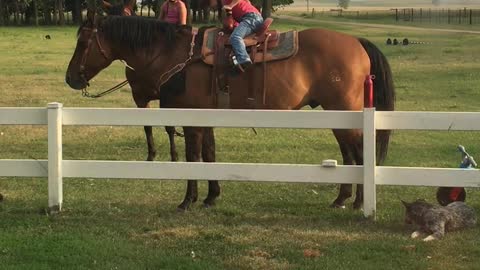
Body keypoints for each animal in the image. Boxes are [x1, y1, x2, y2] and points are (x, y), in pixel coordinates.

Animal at [64, 14, 394, 211]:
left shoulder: (191, 120)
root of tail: (355, 42)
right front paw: (211, 197)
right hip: (337, 115)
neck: (175, 56)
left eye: (83, 42)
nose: (70, 78)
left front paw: (188, 201)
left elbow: (193, 158)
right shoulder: (205, 118)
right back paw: (342, 198)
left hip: (345, 112)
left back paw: (358, 203)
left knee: (359, 152)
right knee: (350, 154)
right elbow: (209, 156)